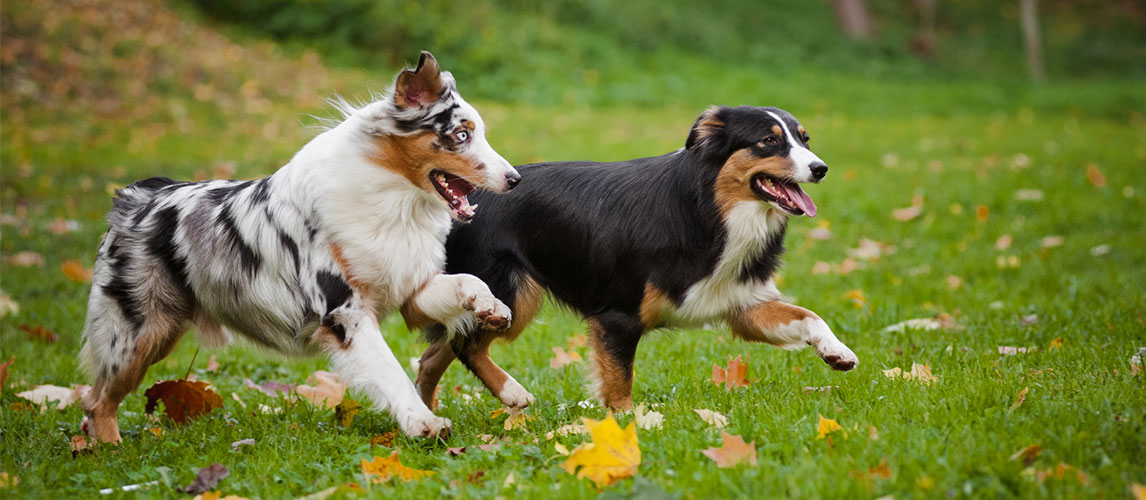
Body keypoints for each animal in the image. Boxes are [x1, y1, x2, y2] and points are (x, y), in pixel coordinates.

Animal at [83, 51, 522, 440]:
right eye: (461, 136)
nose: (515, 179)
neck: (394, 197)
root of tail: (138, 196)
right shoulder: (345, 313)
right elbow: (389, 370)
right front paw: (423, 423)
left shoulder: (409, 287)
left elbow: (467, 280)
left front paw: (492, 306)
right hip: (140, 333)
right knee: (96, 401)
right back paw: (108, 450)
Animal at [417, 104, 857, 410]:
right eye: (768, 141)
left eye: (804, 139)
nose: (820, 168)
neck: (710, 208)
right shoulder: (618, 316)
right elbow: (619, 383)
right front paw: (631, 426)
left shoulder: (740, 303)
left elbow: (808, 315)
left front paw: (837, 350)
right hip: (507, 295)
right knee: (466, 347)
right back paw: (512, 394)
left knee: (434, 353)